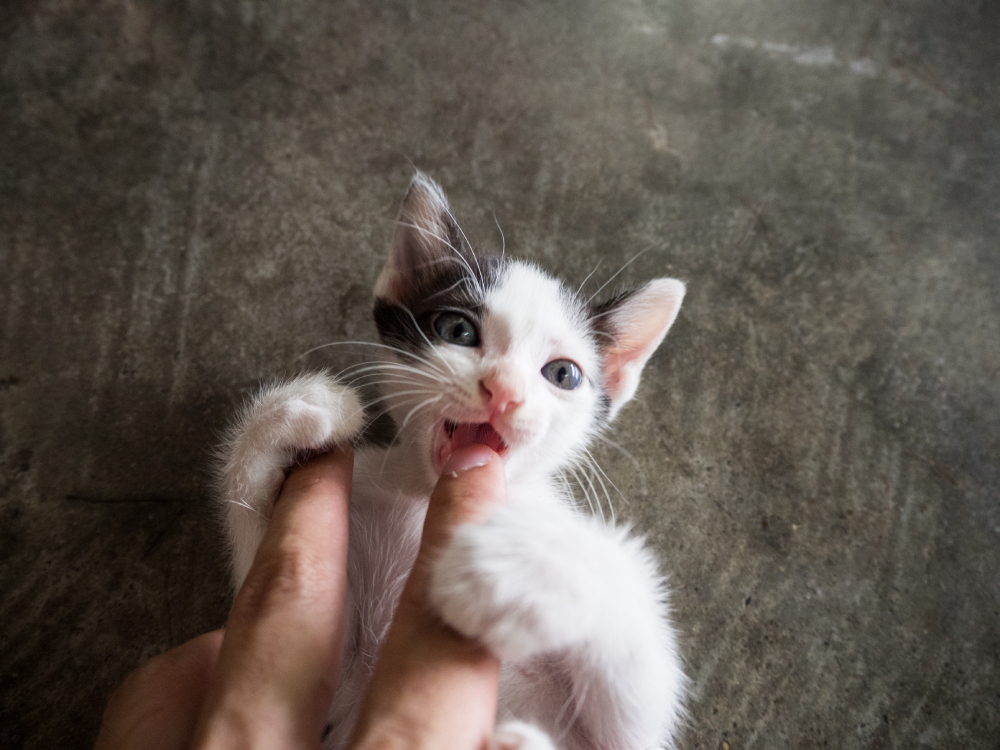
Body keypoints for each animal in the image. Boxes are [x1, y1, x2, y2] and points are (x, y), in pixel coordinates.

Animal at [219, 175, 688, 750]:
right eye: (457, 331)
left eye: (563, 374)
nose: (504, 391)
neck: (425, 494)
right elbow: (260, 574)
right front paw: (297, 410)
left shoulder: (624, 733)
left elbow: (635, 709)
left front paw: (523, 565)